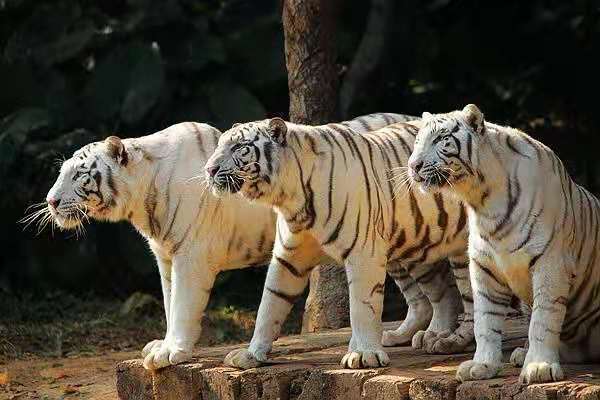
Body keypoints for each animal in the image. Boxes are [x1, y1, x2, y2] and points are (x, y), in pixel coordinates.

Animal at [36, 113, 412, 371]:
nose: (51, 201)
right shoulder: (166, 258)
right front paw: (164, 344)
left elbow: (183, 305)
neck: (143, 199)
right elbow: (169, 301)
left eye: (78, 175)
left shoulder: (190, 256)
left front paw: (171, 352)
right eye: (61, 172)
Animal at [203, 116, 474, 370]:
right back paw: (425, 335)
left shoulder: (364, 253)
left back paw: (452, 341)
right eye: (219, 145)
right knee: (441, 295)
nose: (209, 169)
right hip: (414, 245)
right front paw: (251, 355)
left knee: (468, 299)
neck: (288, 197)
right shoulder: (287, 259)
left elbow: (362, 307)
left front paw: (364, 354)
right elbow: (269, 306)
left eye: (239, 147)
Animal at [407, 103, 600, 384]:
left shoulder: (551, 263)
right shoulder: (483, 267)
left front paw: (539, 367)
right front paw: (482, 365)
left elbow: (543, 319)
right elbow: (485, 322)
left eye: (441, 139)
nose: (413, 166)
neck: (482, 199)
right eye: (417, 142)